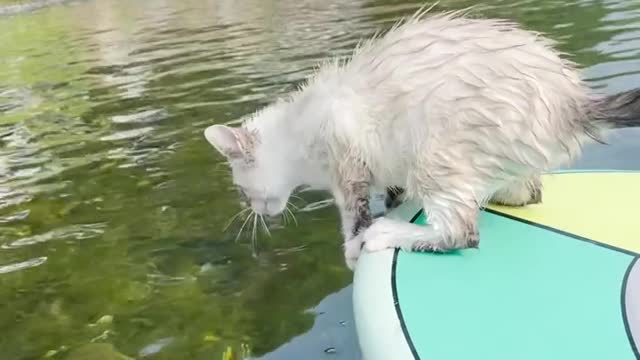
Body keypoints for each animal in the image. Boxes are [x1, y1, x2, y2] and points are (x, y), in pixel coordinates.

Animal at [204, 9, 640, 270]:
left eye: (241, 190)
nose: (253, 211)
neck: (300, 128)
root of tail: (572, 101)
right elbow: (390, 195)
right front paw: (393, 205)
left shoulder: (348, 165)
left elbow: (354, 218)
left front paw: (353, 247)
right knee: (527, 194)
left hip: (434, 152)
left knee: (461, 233)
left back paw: (389, 233)